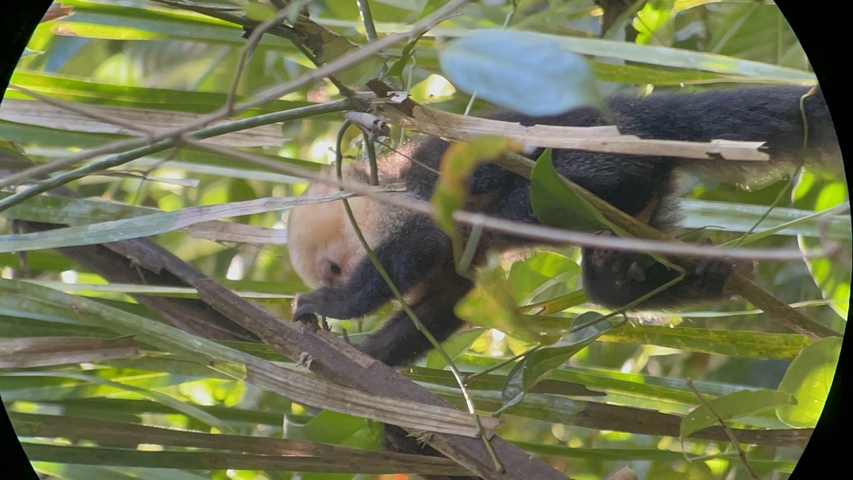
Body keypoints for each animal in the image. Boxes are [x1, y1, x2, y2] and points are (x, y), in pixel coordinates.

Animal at [287, 85, 840, 368]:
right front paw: (362, 357)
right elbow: (441, 305)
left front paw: (330, 306)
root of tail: (632, 117)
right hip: (641, 194)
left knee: (525, 198)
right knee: (611, 270)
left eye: (334, 269)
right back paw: (680, 277)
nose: (335, 280)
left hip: (591, 159)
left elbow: (421, 244)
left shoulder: (399, 208)